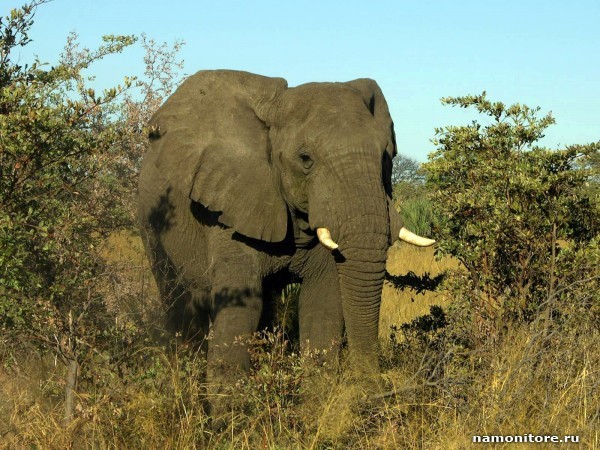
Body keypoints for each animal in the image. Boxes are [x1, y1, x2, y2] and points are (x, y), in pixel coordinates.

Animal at [138, 70, 434, 412]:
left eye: (386, 157)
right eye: (305, 159)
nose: (373, 393)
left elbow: (324, 299)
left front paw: (317, 411)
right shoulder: (229, 204)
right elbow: (243, 301)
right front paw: (229, 419)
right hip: (151, 224)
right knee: (178, 300)